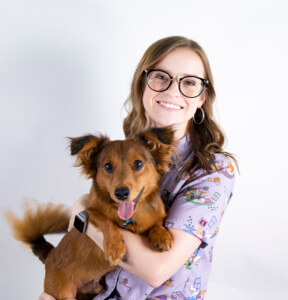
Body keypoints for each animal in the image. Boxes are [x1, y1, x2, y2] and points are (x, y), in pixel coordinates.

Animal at [6, 127, 176, 300]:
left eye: (138, 163)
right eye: (108, 166)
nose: (121, 193)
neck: (133, 216)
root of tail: (49, 255)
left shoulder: (157, 214)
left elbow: (157, 222)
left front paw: (161, 236)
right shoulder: (90, 209)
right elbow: (105, 221)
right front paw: (114, 248)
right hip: (63, 294)